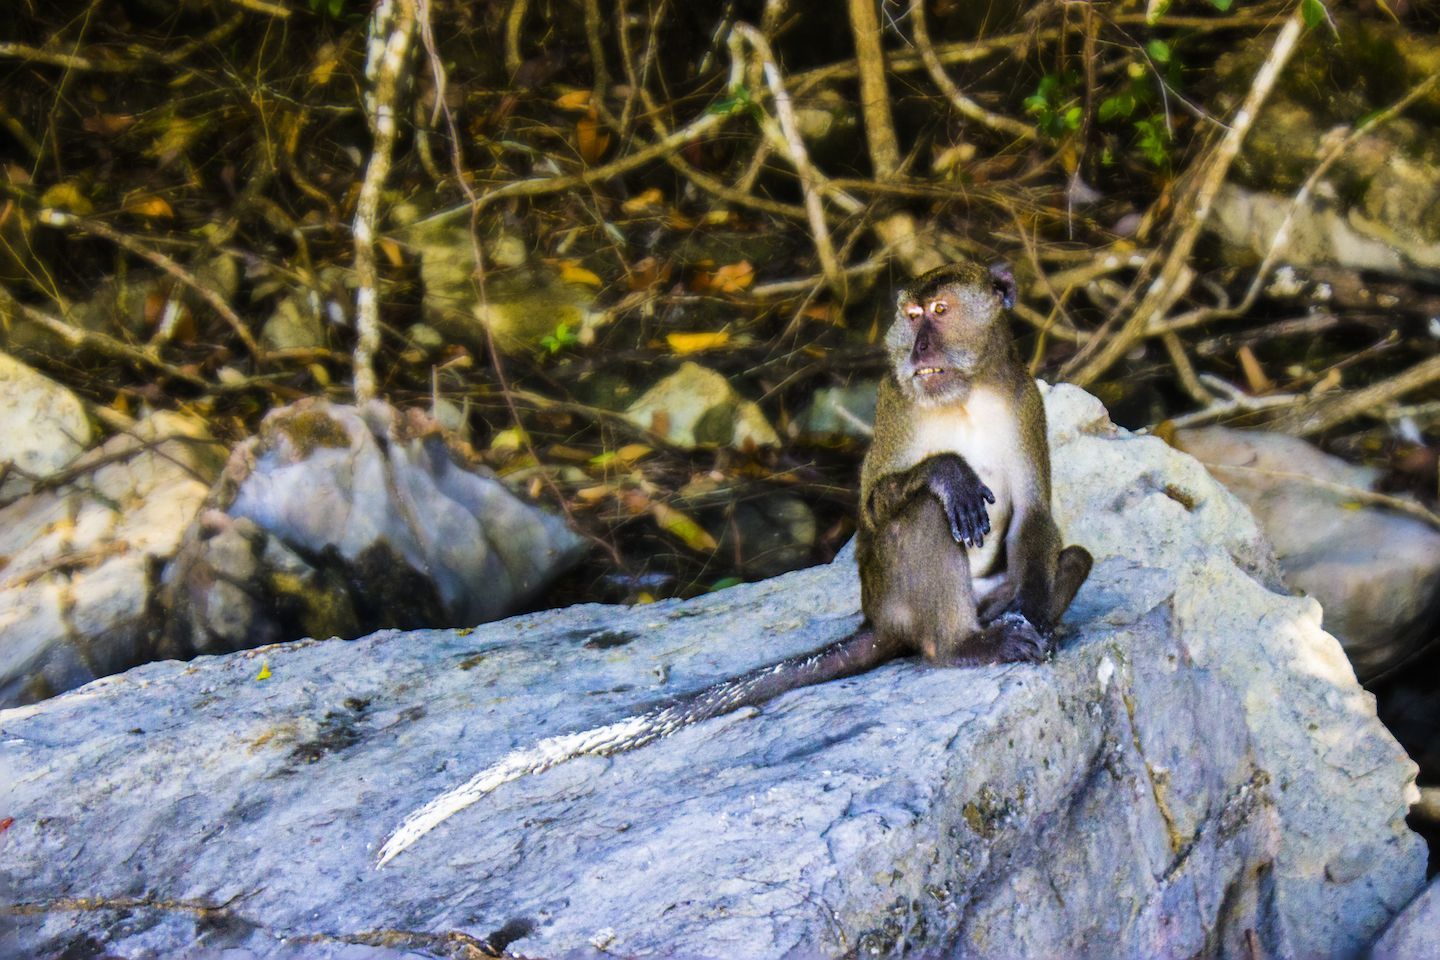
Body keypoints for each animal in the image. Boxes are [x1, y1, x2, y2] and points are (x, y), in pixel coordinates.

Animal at [375, 261, 1092, 867]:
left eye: (940, 312)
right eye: (911, 315)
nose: (917, 352)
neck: (964, 394)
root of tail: (879, 619)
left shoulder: (1023, 400)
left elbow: (1035, 516)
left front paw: (1038, 614)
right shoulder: (896, 402)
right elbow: (876, 505)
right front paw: (948, 473)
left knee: (1075, 555)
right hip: (898, 593)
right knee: (920, 517)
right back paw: (960, 644)